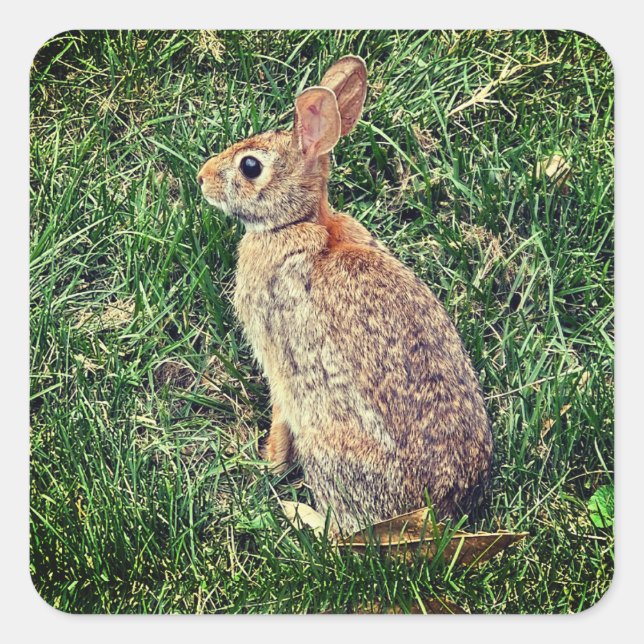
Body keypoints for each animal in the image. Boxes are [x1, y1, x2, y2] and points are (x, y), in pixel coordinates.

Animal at [197, 56, 493, 534]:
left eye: (250, 167)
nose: (202, 178)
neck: (298, 222)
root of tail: (430, 512)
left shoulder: (279, 362)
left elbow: (279, 415)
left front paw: (268, 463)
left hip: (326, 445)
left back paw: (297, 513)